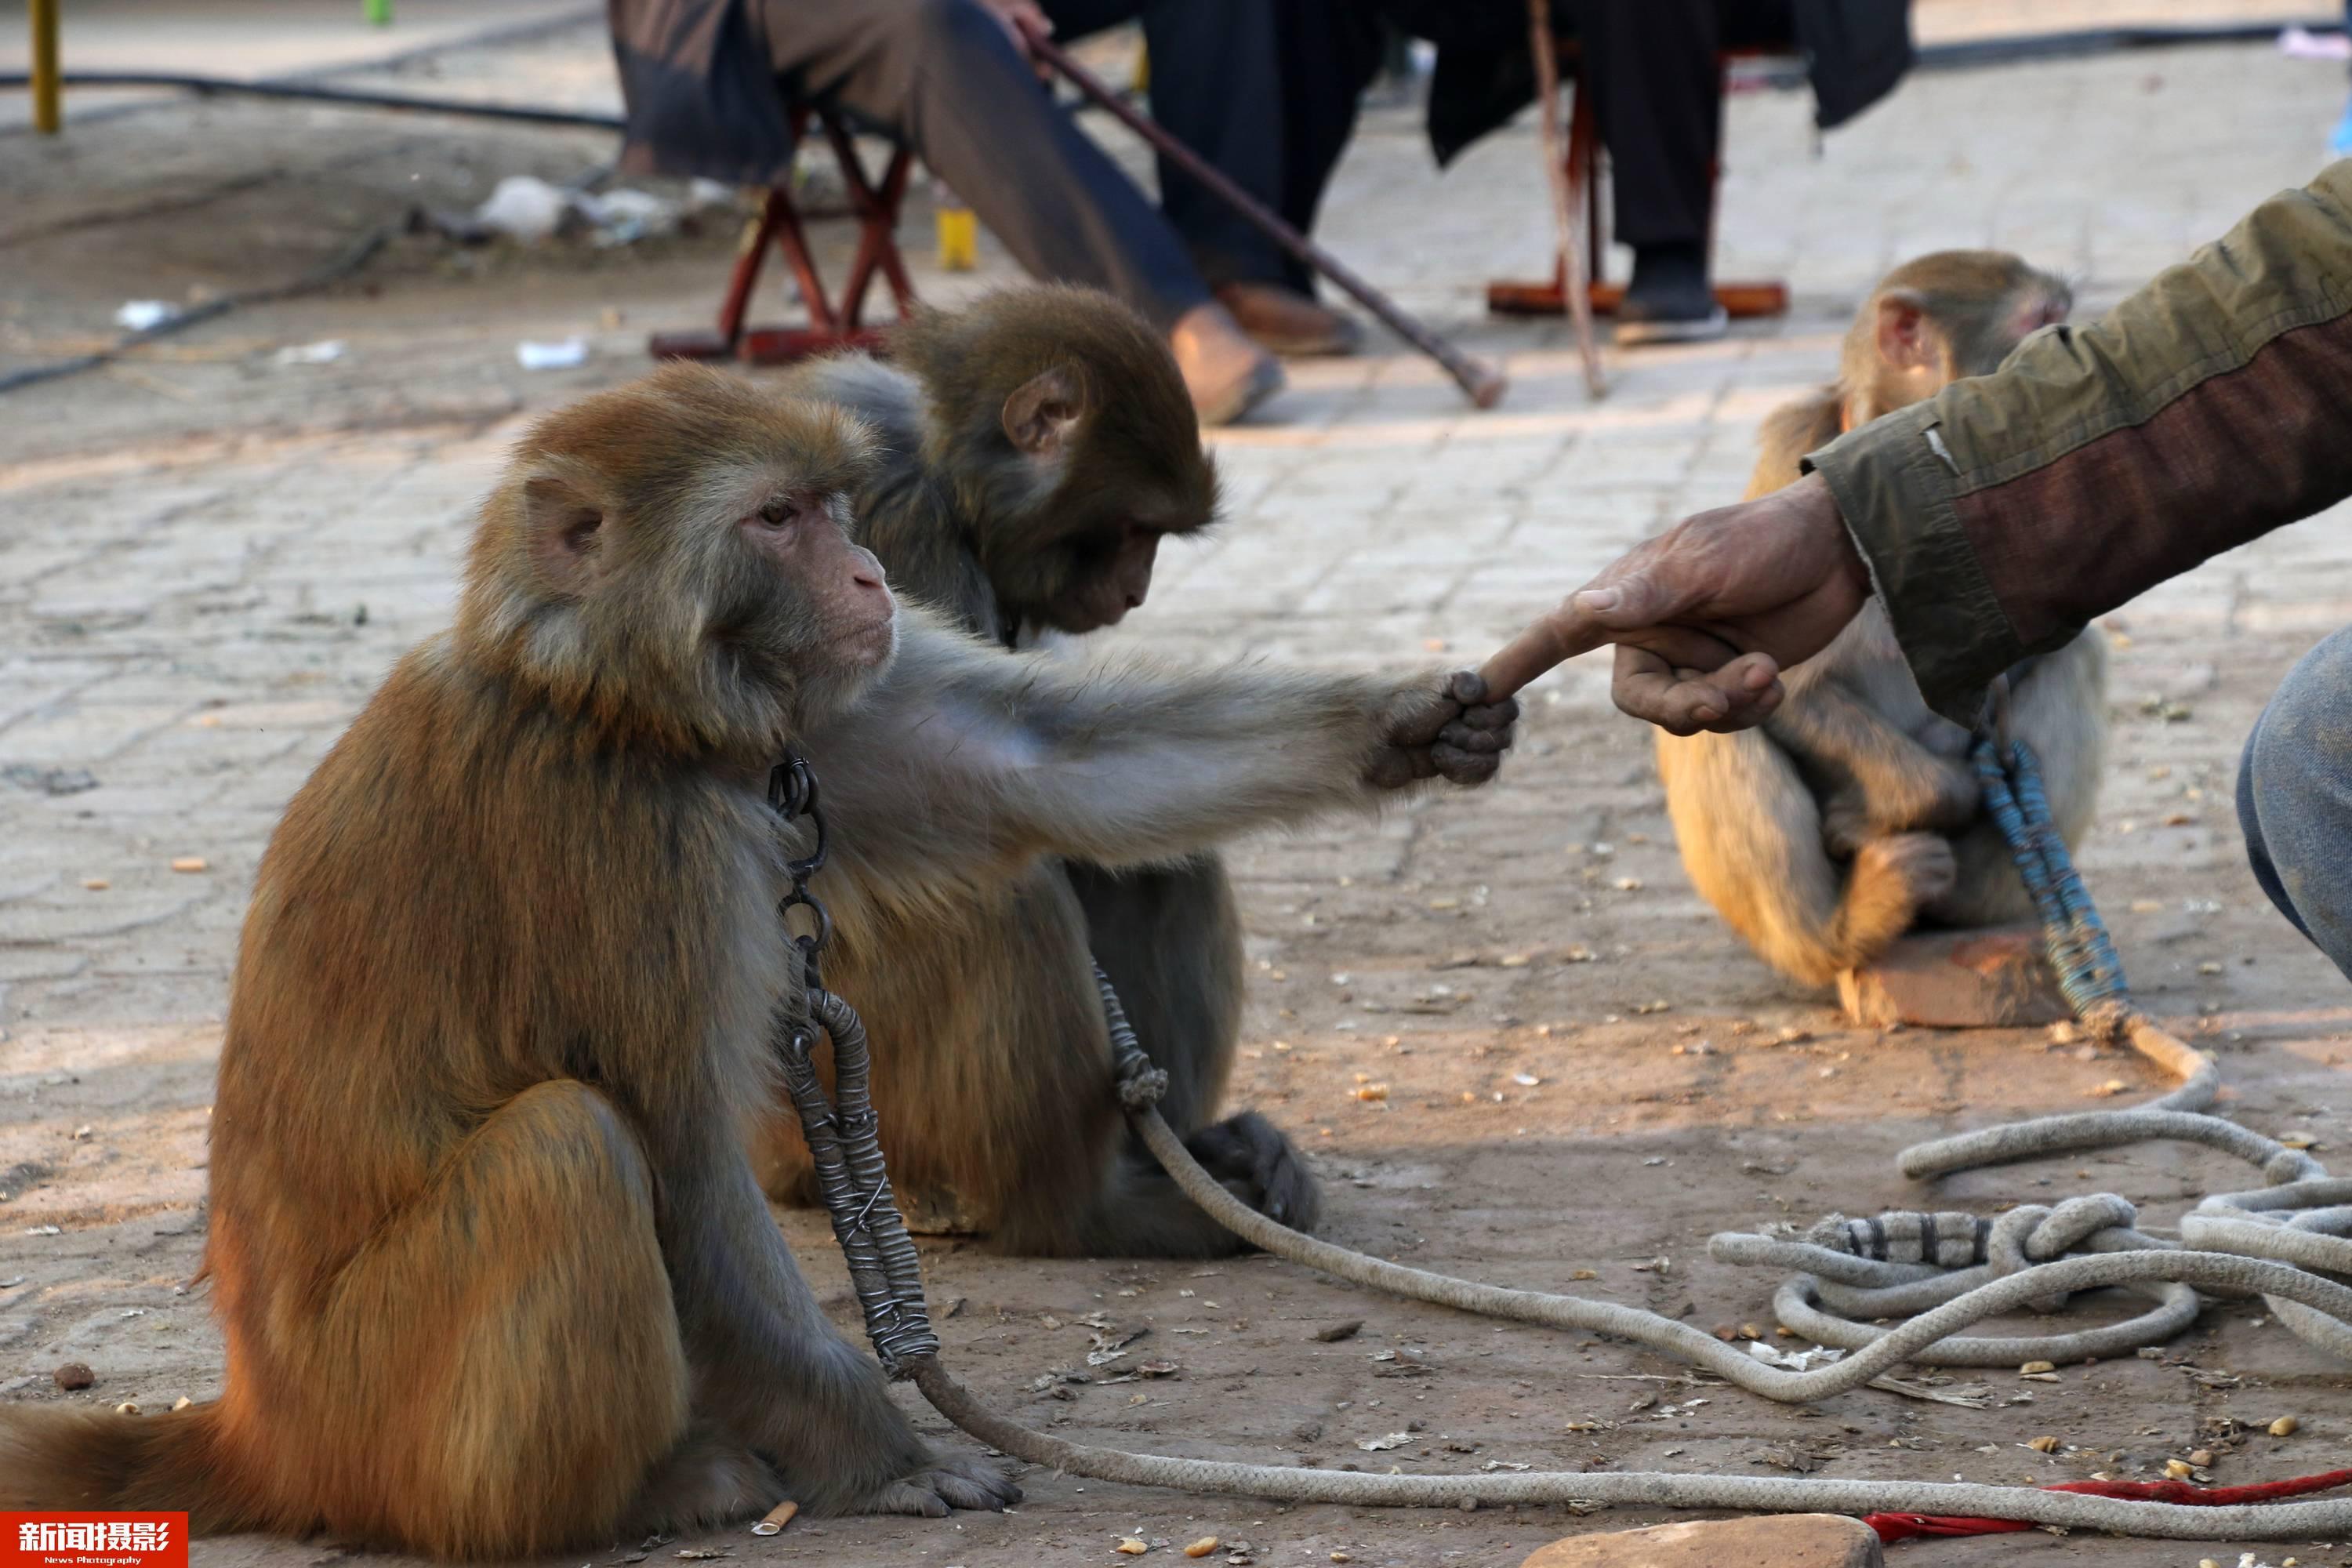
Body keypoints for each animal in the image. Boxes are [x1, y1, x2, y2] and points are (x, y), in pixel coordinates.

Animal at [0, 364, 1505, 1561]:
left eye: (836, 509)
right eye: (778, 521)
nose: (868, 578)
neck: (611, 705)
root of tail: (256, 1429)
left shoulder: (800, 737)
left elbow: (1044, 765)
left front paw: (1408, 720)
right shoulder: (624, 856)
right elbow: (680, 1169)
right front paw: (886, 1456)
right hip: (383, 1410)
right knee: (570, 1147)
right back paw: (630, 1496)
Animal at [1656, 255, 2117, 992]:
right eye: (2042, 319)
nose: (2073, 344)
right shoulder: (1788, 481)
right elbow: (1781, 682)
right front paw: (1918, 801)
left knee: (2079, 659)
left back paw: (1968, 906)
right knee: (1709, 712)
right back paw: (1840, 931)